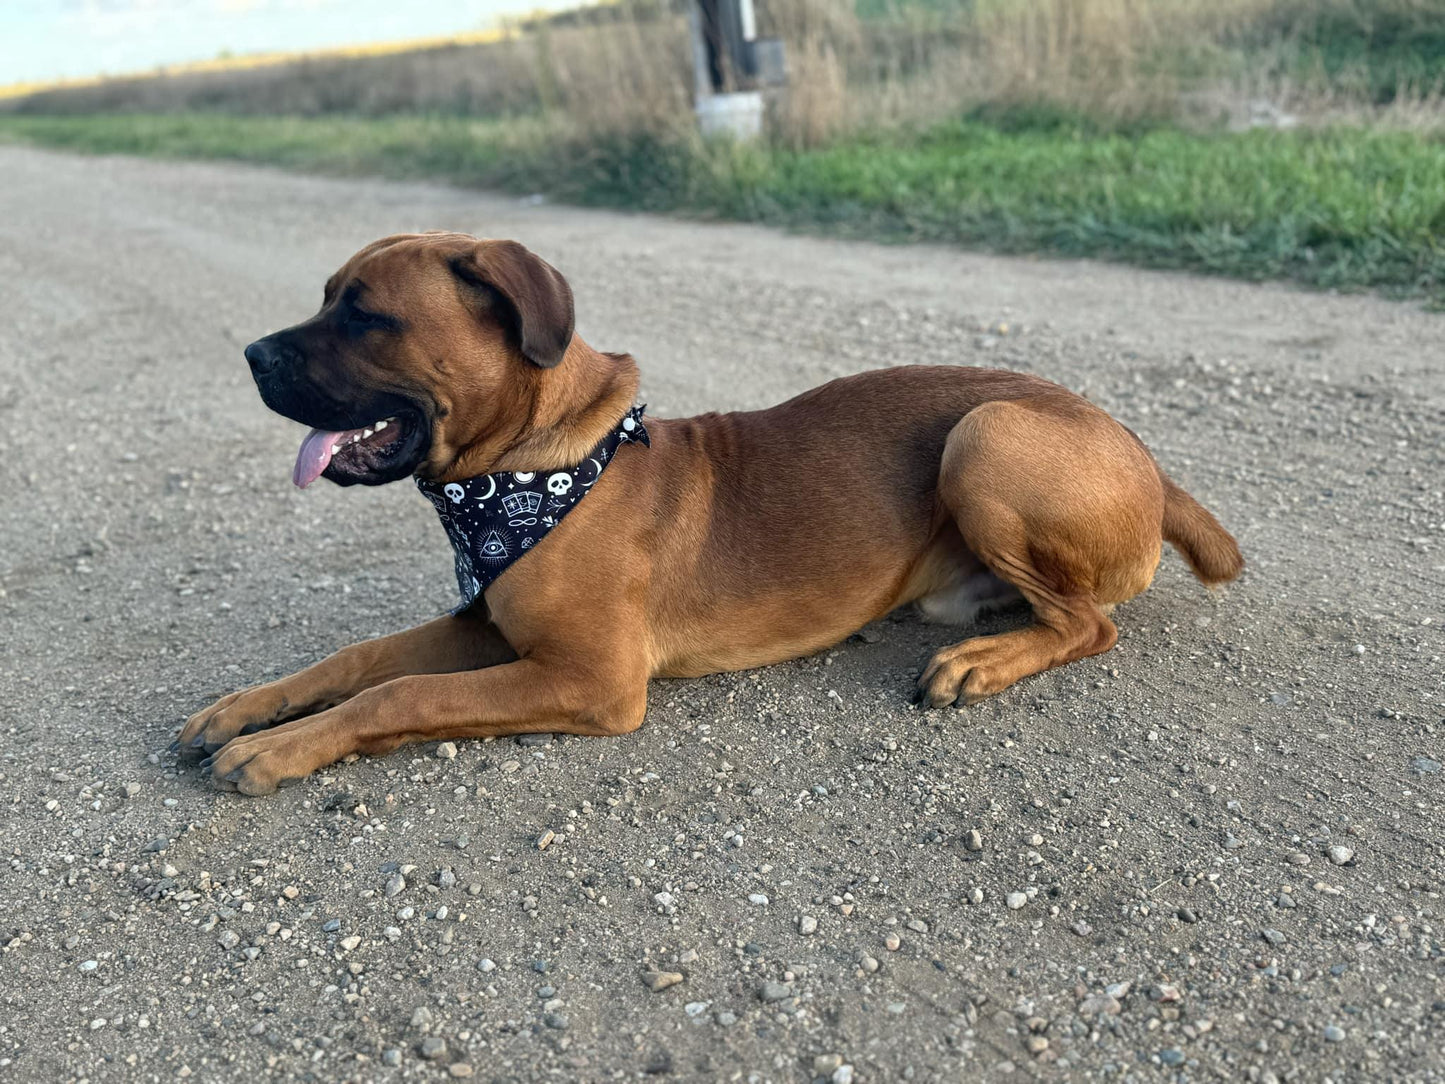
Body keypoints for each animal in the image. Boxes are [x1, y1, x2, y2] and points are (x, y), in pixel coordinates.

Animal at [180, 234, 1242, 792]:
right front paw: (247, 707)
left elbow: (398, 695)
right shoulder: (483, 627)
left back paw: (981, 662)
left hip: (985, 437)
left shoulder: (589, 678)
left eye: (365, 314)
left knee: (1089, 623)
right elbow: (358, 661)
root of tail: (1144, 459)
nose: (249, 356)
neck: (534, 473)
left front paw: (275, 749)